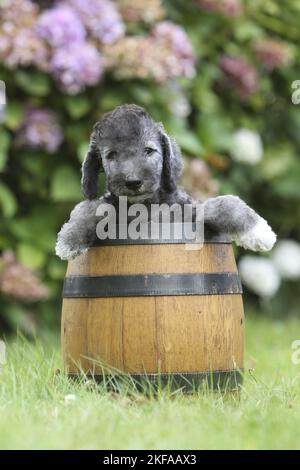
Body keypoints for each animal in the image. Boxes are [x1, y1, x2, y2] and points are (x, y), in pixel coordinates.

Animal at [55, 103, 276, 260]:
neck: (146, 205)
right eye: (111, 155)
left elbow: (224, 203)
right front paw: (70, 238)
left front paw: (258, 230)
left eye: (149, 150)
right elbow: (88, 207)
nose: (133, 182)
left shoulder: (188, 212)